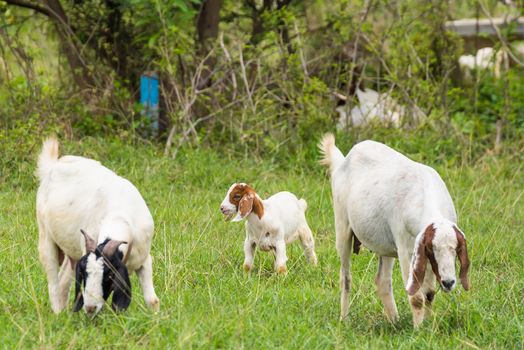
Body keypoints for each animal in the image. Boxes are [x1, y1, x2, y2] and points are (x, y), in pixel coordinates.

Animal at [36, 138, 159, 316]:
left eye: (108, 275)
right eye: (84, 275)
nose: (89, 308)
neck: (120, 215)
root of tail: (53, 165)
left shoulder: (144, 259)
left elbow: (152, 300)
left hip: (71, 251)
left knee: (64, 277)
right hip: (45, 236)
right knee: (53, 283)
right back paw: (58, 312)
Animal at [320, 135, 470, 328]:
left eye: (456, 249)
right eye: (432, 248)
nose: (449, 282)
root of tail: (343, 161)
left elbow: (429, 293)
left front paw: (429, 325)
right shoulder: (407, 250)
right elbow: (417, 297)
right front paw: (419, 330)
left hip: (386, 247)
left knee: (382, 281)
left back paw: (394, 321)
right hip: (342, 227)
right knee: (345, 278)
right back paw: (344, 320)